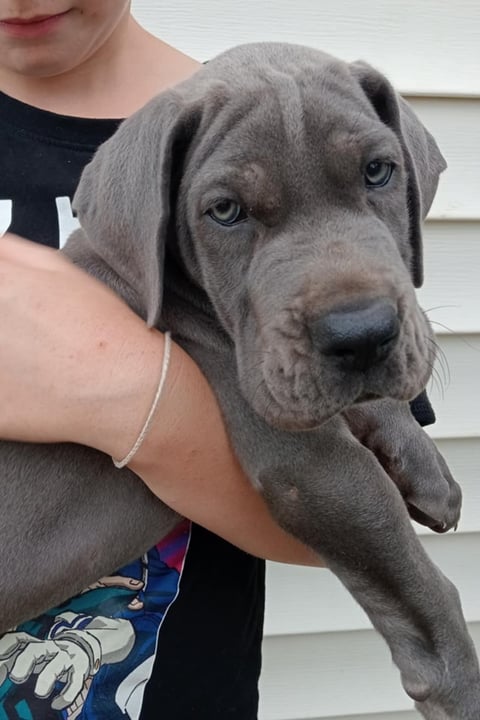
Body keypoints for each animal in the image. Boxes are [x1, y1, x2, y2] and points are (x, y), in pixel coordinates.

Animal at [0, 43, 478, 716]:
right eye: (225, 211)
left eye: (378, 172)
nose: (361, 334)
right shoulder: (308, 467)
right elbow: (412, 573)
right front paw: (459, 682)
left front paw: (424, 465)